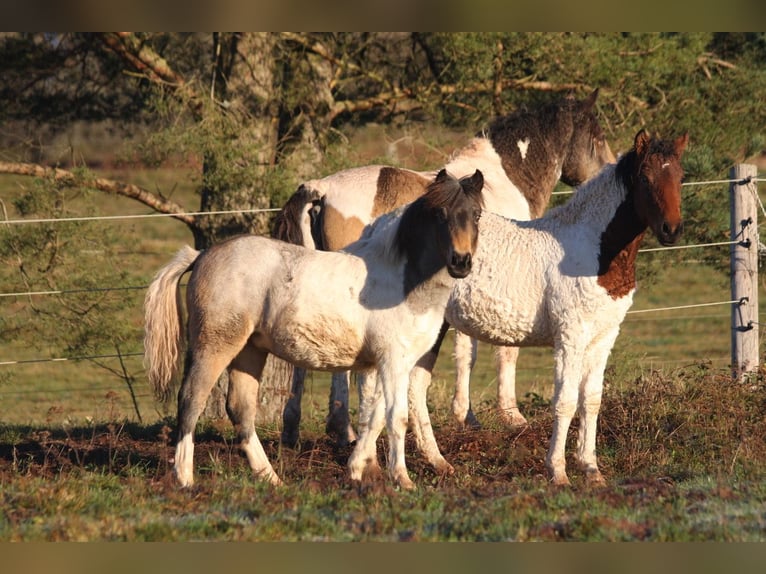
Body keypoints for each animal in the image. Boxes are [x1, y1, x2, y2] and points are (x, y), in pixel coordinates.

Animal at [142, 170, 486, 490]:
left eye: (476, 214)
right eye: (440, 214)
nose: (461, 262)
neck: (404, 278)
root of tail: (201, 256)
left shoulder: (385, 364)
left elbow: (373, 418)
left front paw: (356, 471)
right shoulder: (393, 361)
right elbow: (396, 418)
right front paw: (402, 479)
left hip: (249, 351)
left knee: (240, 408)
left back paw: (271, 478)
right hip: (214, 345)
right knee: (191, 400)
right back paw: (185, 478)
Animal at [272, 91, 616, 450]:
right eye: (597, 136)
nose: (610, 170)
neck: (502, 181)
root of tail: (320, 188)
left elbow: (466, 352)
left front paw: (467, 417)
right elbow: (495, 353)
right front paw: (505, 416)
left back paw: (294, 430)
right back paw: (344, 430)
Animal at [358, 130, 688, 486]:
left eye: (680, 176)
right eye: (645, 178)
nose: (671, 229)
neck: (592, 248)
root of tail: (381, 226)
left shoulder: (604, 337)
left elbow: (592, 401)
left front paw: (591, 469)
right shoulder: (570, 336)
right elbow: (565, 402)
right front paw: (558, 471)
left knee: (412, 387)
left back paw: (436, 462)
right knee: (378, 390)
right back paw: (374, 467)